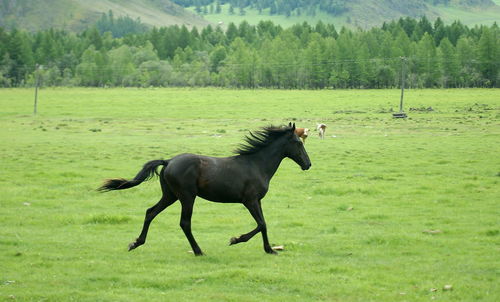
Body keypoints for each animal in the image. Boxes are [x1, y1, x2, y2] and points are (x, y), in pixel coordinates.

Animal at [98, 122, 310, 255]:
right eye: (298, 143)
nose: (308, 164)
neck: (256, 164)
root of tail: (168, 161)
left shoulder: (256, 201)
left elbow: (263, 224)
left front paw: (269, 250)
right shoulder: (249, 200)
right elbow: (261, 224)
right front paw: (235, 239)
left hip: (170, 195)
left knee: (150, 212)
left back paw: (136, 243)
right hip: (186, 196)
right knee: (184, 223)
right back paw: (199, 251)